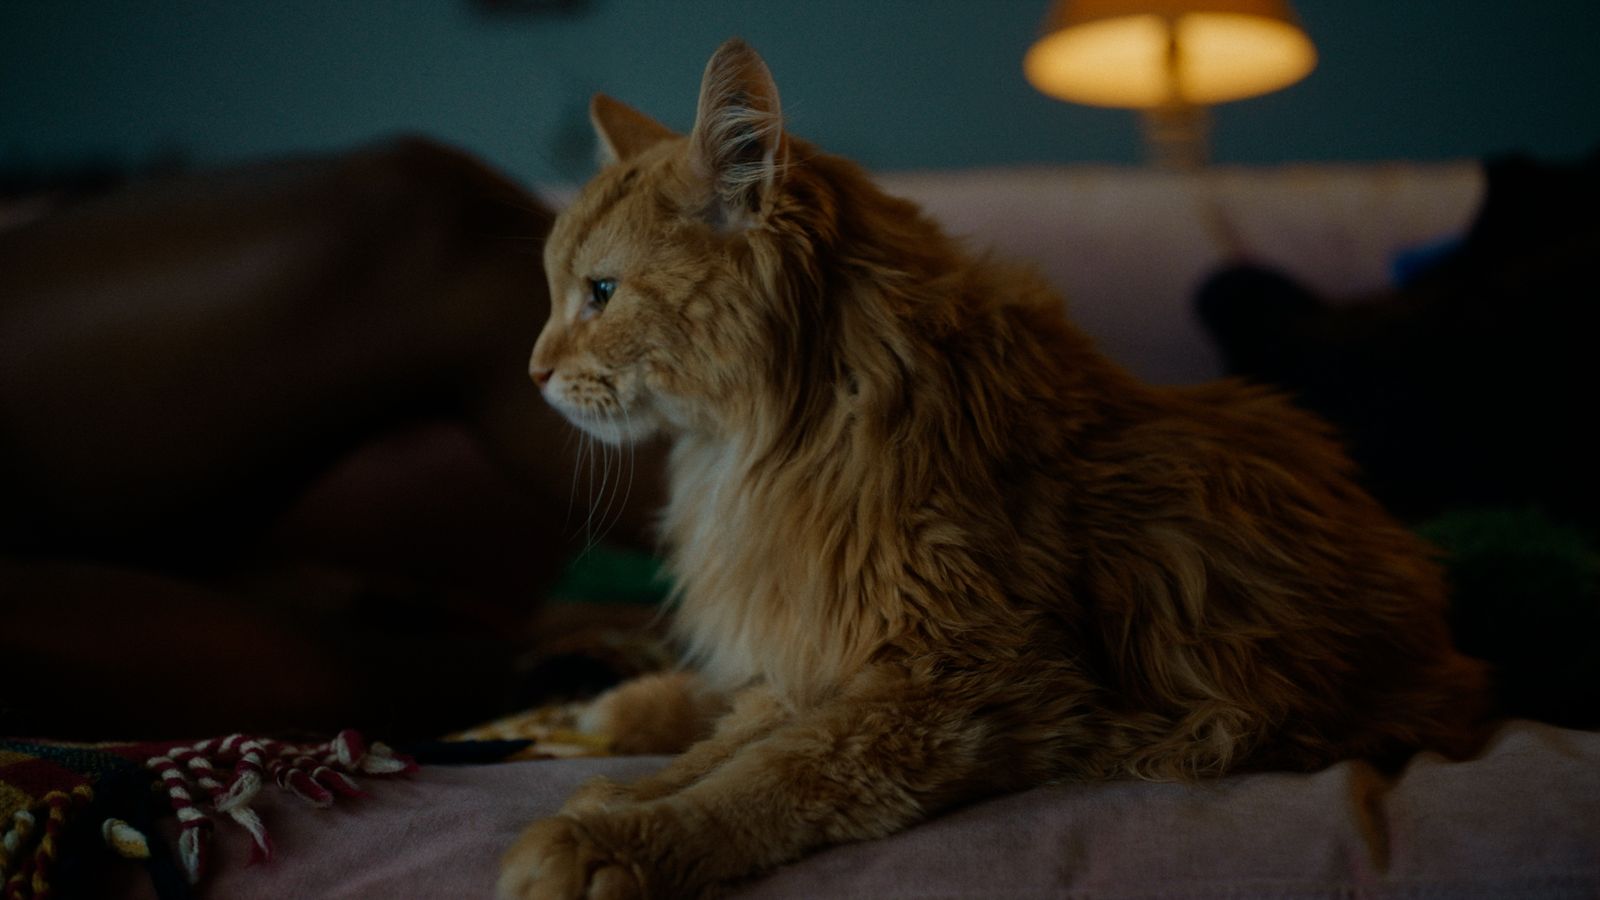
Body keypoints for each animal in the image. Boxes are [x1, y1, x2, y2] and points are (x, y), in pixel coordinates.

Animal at [496, 36, 1484, 896]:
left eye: (601, 294)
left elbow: (770, 775)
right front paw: (615, 795)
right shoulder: (833, 647)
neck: (794, 437)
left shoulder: (965, 683)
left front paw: (609, 835)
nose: (534, 372)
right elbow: (730, 745)